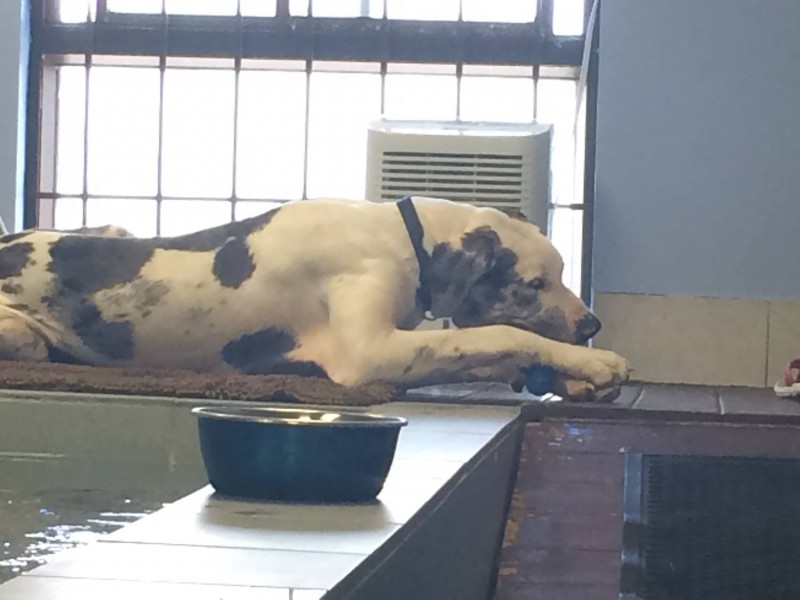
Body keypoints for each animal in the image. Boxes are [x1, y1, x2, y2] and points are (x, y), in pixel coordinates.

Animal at [0, 197, 629, 400]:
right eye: (536, 284)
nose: (592, 325)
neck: (401, 237)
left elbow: (494, 351)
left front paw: (572, 376)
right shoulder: (371, 354)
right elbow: (500, 334)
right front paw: (598, 363)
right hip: (18, 333)